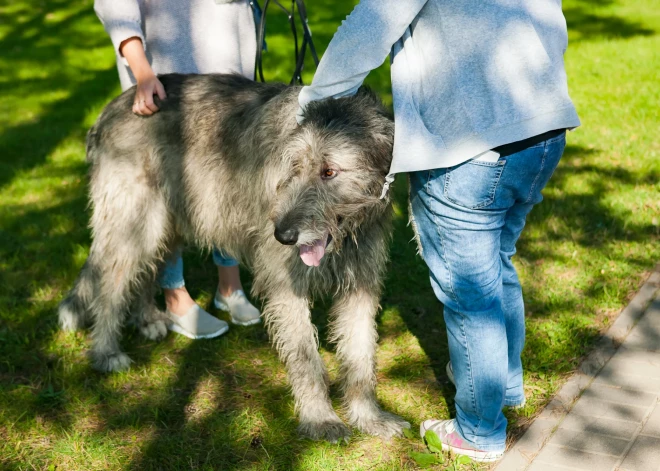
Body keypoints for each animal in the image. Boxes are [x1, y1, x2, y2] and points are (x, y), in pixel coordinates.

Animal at [58, 74, 408, 442]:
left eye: (329, 172)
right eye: (294, 167)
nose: (282, 235)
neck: (347, 232)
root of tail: (111, 108)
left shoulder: (361, 282)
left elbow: (360, 353)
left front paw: (369, 417)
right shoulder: (286, 283)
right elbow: (305, 357)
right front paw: (320, 419)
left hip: (169, 220)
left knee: (149, 267)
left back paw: (146, 318)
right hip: (135, 219)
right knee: (110, 281)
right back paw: (106, 352)